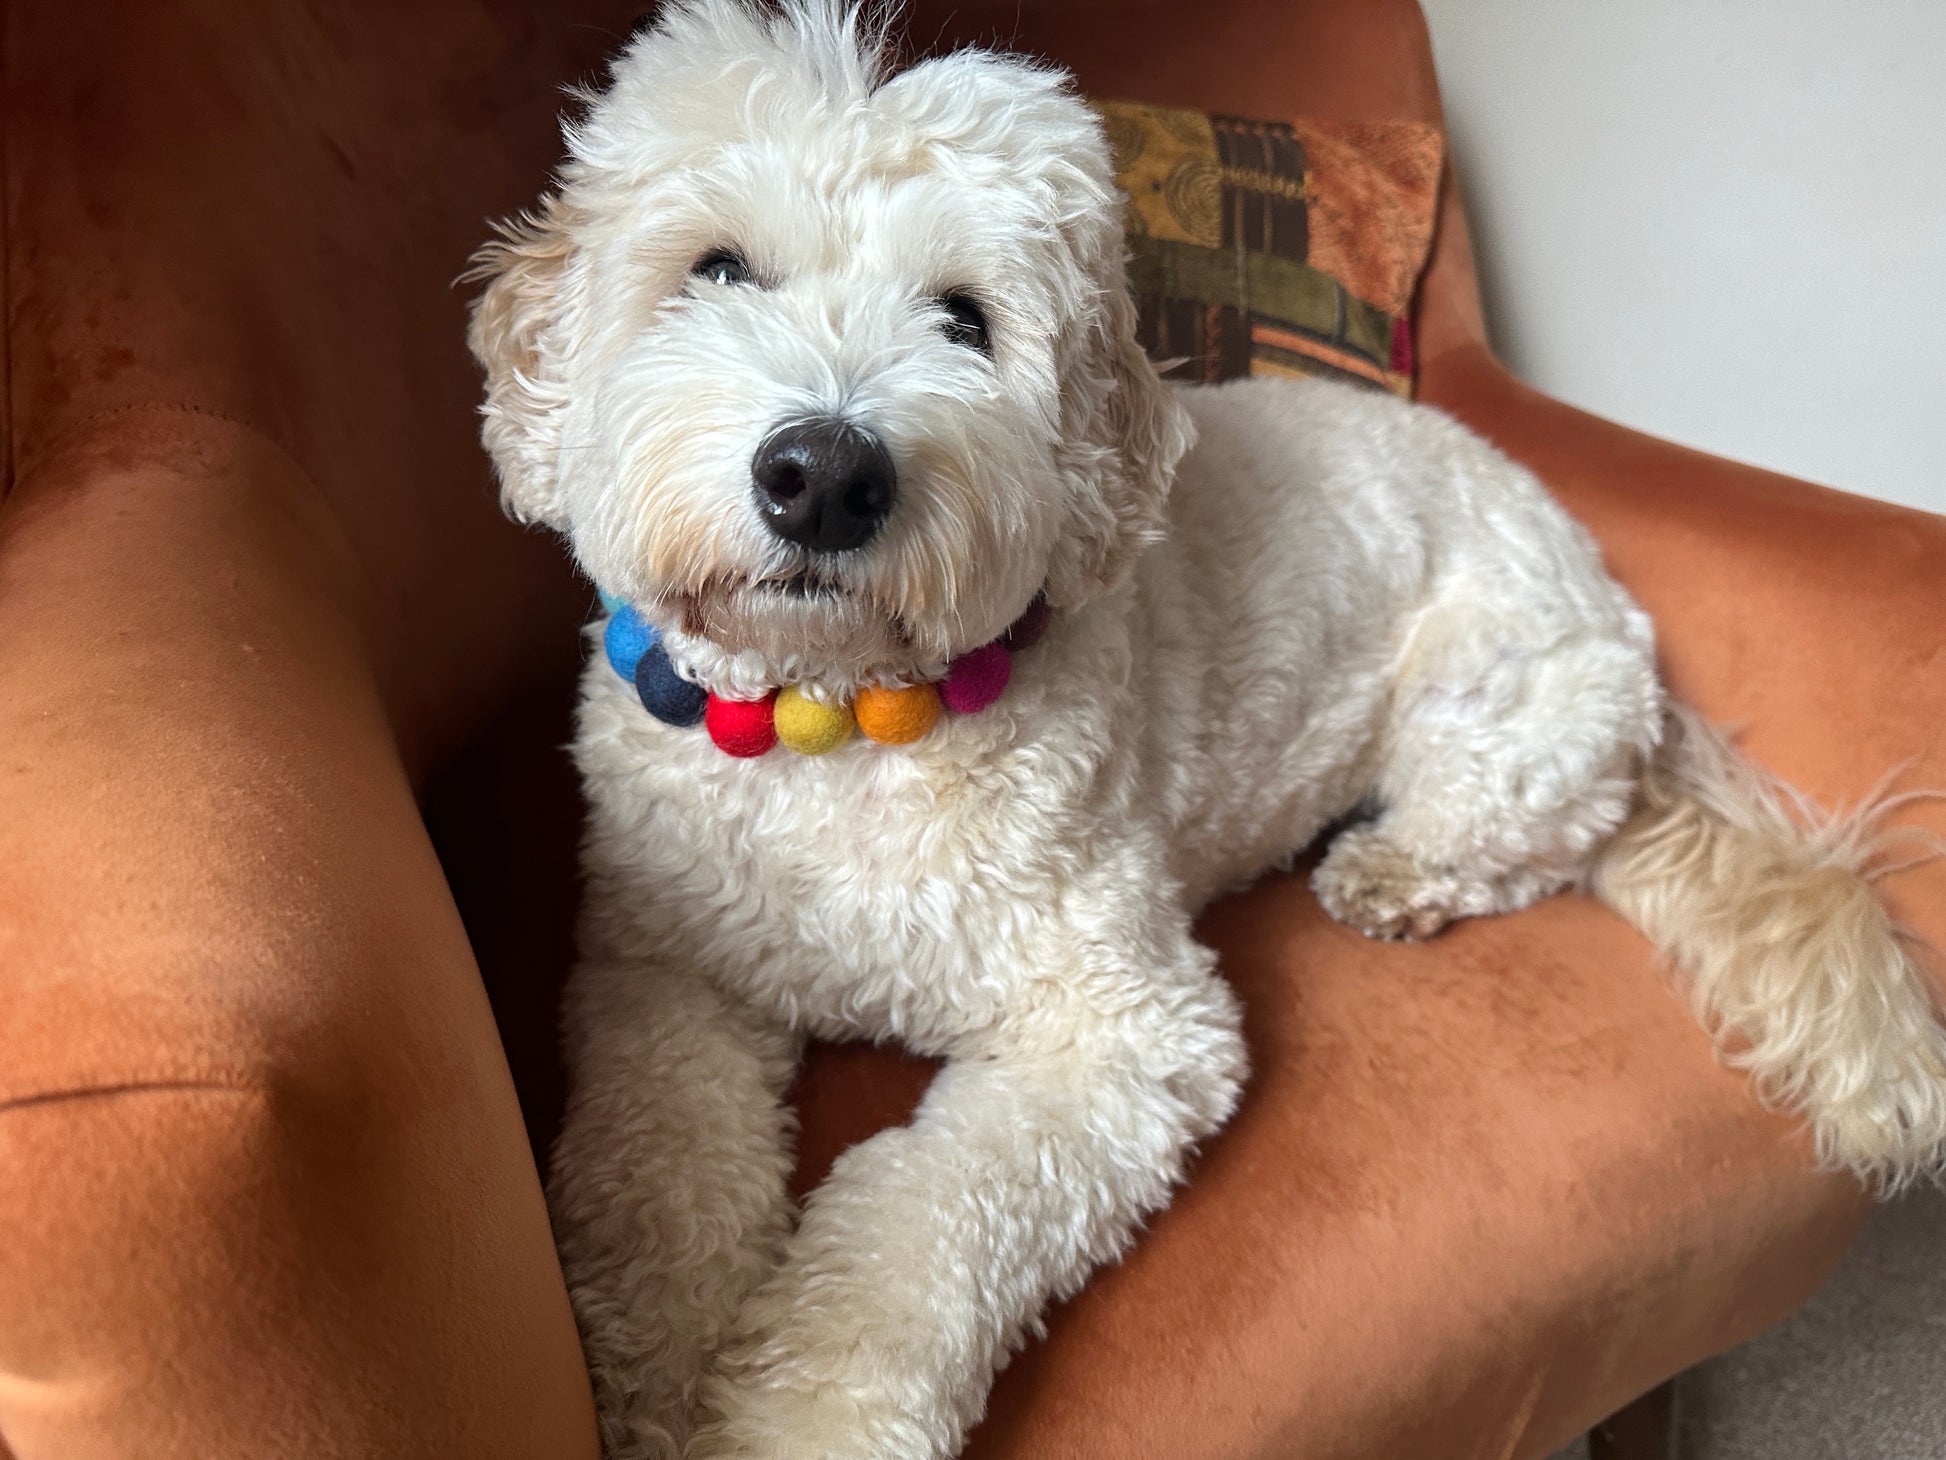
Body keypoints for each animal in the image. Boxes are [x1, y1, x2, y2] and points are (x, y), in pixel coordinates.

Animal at [470, 5, 1946, 1456]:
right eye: (716, 270)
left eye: (964, 319)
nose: (824, 473)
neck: (832, 716)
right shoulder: (657, 975)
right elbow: (655, 1193)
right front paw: (657, 1385)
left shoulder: (1124, 1036)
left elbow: (909, 1233)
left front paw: (797, 1416)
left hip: (1506, 707)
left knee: (1528, 837)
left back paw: (1394, 874)